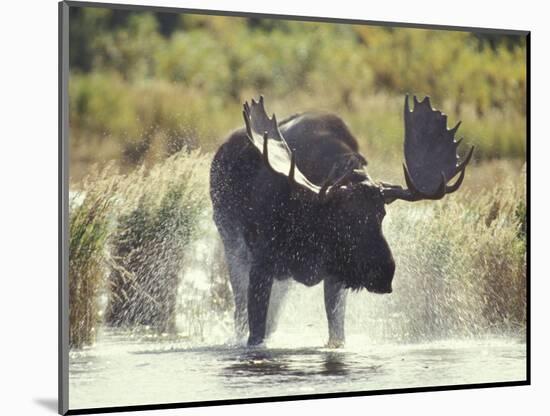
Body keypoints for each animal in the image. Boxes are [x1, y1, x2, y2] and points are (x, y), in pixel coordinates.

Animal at [211, 96, 474, 346]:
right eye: (343, 218)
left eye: (382, 214)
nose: (384, 272)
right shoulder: (262, 263)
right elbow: (254, 334)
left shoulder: (335, 275)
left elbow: (336, 335)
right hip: (232, 243)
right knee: (239, 311)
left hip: (283, 278)